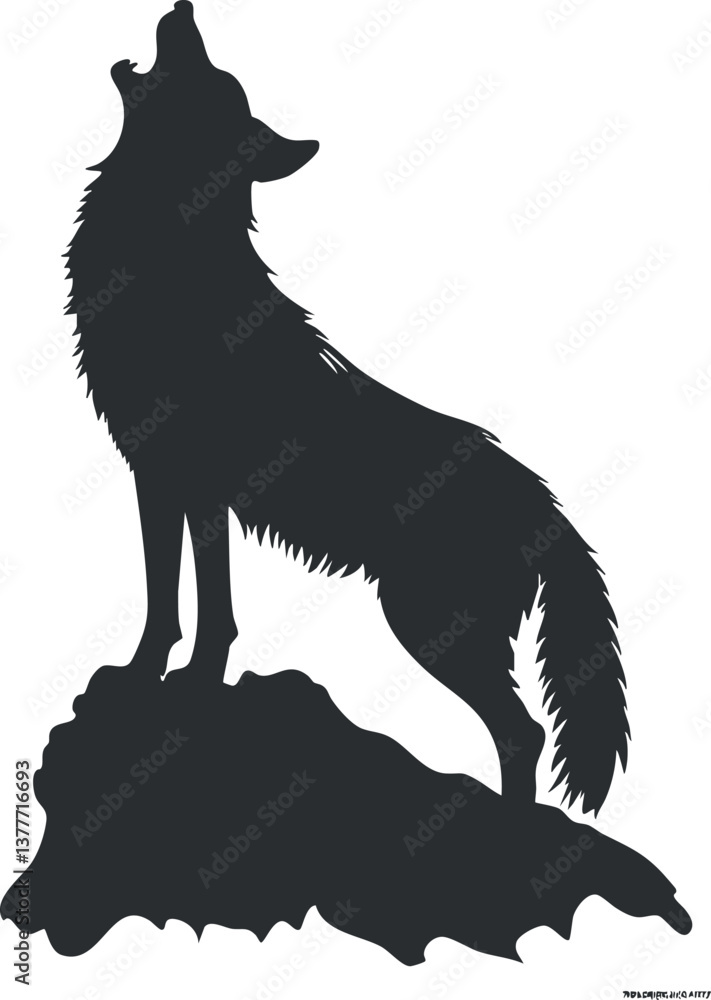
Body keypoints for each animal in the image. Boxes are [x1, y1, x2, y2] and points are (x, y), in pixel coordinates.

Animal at [65, 0, 628, 814]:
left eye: (210, 74)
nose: (185, 9)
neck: (170, 258)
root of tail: (549, 507)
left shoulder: (183, 479)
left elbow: (187, 606)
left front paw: (172, 687)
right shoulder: (175, 483)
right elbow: (185, 602)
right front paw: (169, 679)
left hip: (428, 625)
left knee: (521, 731)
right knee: (520, 733)